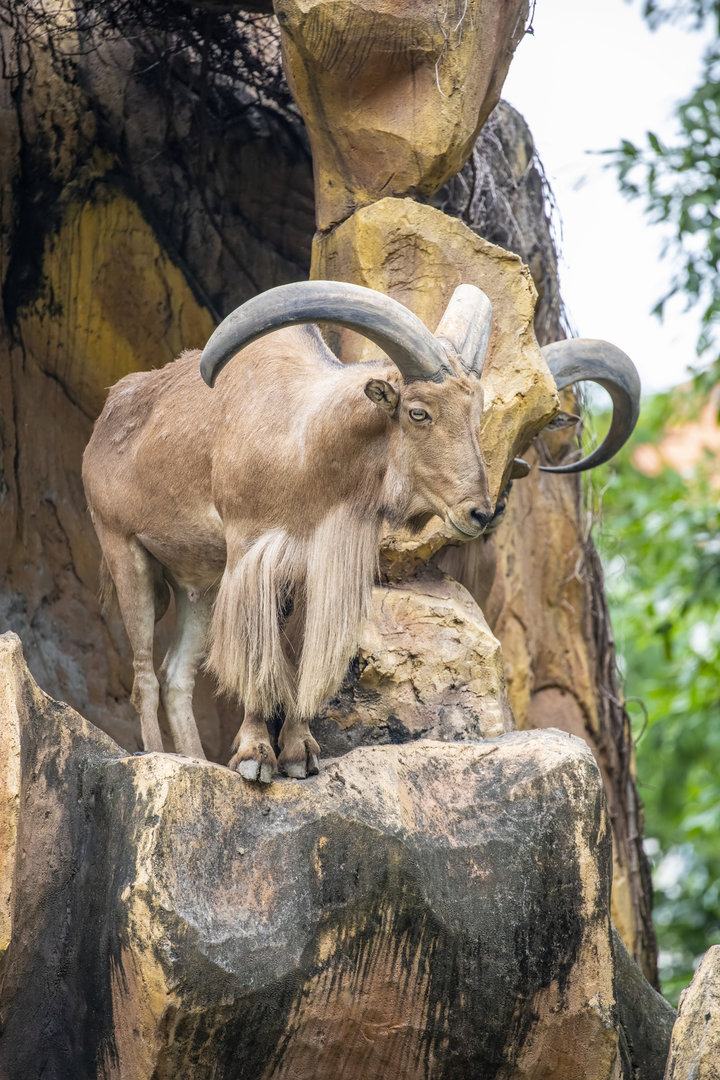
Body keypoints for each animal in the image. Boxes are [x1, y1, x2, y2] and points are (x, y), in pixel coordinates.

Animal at [82, 281, 639, 782]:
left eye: (476, 413)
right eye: (418, 412)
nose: (481, 513)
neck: (305, 442)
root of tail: (106, 416)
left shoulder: (318, 566)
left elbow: (301, 654)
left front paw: (300, 754)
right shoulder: (250, 554)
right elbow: (258, 656)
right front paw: (255, 758)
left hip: (198, 583)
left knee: (177, 674)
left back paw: (195, 760)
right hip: (123, 549)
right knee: (144, 672)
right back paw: (157, 756)